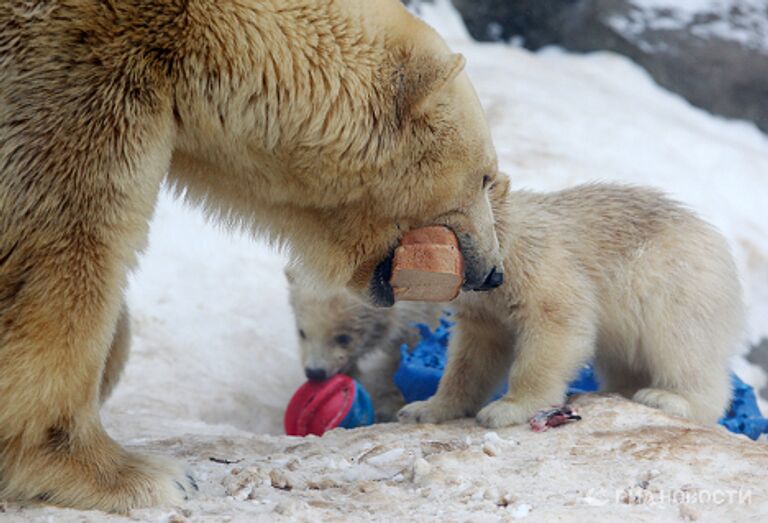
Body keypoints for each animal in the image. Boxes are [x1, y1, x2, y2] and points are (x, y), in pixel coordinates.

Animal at [0, 0, 504, 512]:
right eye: (485, 176)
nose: (490, 272)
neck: (198, 35)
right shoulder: (74, 79)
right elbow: (66, 247)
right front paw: (139, 475)